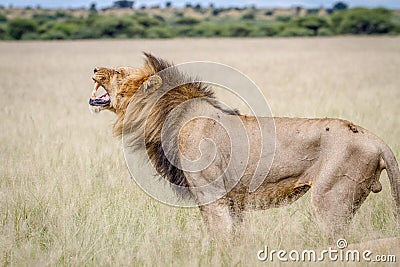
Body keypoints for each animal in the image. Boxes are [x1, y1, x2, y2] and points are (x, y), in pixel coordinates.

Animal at [89, 52, 398, 239]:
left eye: (118, 72)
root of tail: (378, 141)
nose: (94, 68)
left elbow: (219, 238)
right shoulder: (231, 201)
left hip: (331, 200)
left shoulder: (211, 195)